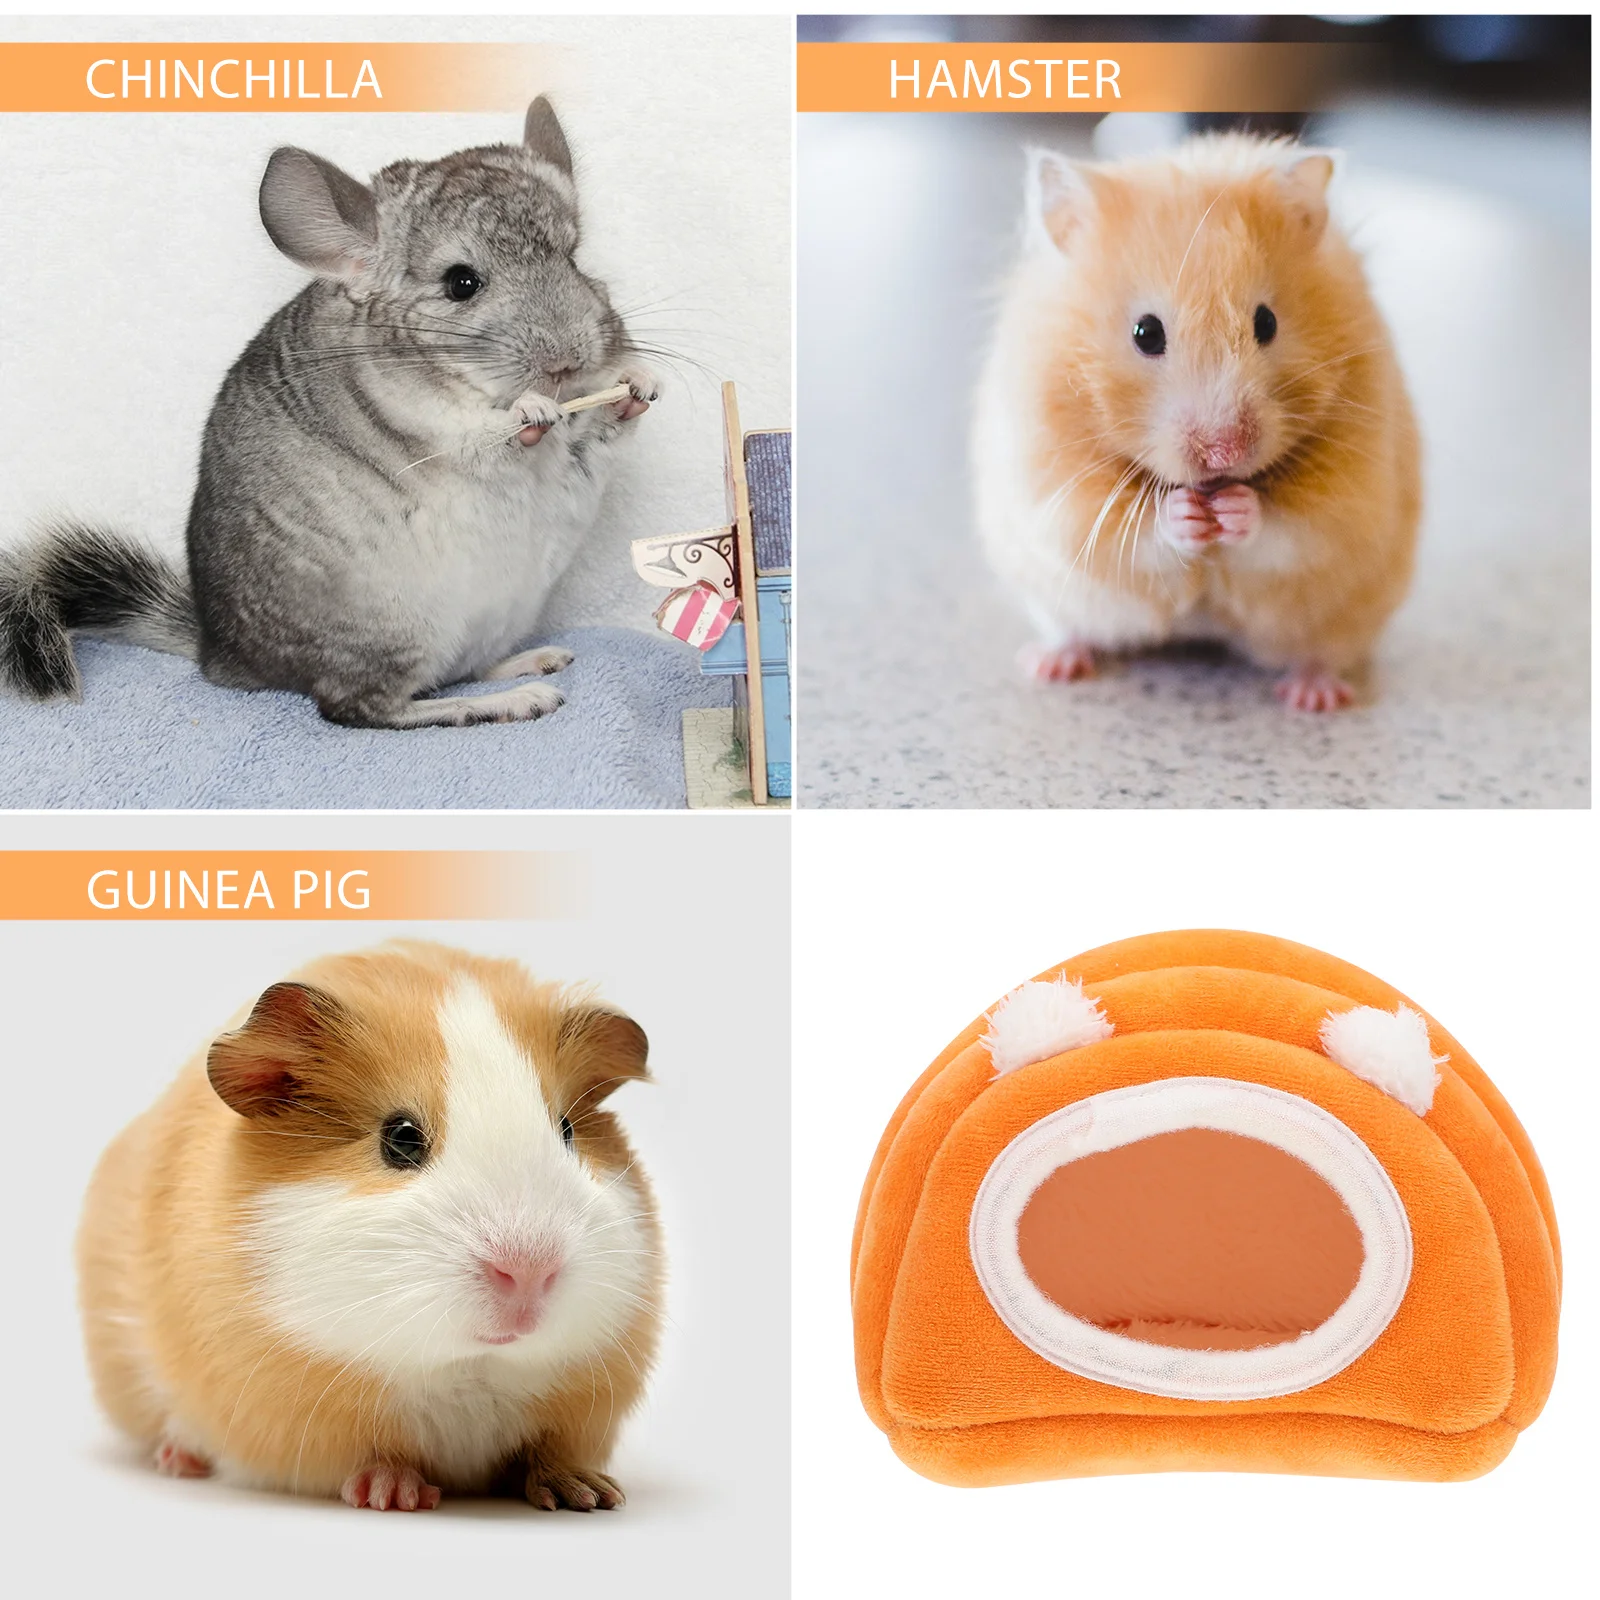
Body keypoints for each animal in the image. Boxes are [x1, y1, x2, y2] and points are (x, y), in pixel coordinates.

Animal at [0, 99, 658, 729]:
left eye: (573, 257)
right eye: (462, 283)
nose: (569, 361)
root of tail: (224, 657)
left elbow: (601, 429)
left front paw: (636, 383)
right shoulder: (427, 423)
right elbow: (486, 432)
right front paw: (532, 407)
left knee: (462, 670)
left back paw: (533, 660)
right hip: (392, 628)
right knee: (360, 708)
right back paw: (517, 700)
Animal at [76, 942, 663, 1512]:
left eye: (566, 1131)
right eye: (400, 1138)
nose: (529, 1272)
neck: (468, 1369)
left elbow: (546, 1453)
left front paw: (591, 1495)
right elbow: (375, 1457)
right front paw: (396, 1496)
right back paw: (179, 1460)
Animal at [973, 134, 1421, 711]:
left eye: (1266, 323)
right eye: (1146, 333)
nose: (1224, 453)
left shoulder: (1352, 495)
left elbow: (1292, 529)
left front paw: (1234, 509)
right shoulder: (1057, 490)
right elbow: (1132, 531)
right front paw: (1186, 513)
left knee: (1322, 653)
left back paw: (1313, 697)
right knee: (1070, 629)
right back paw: (1050, 665)